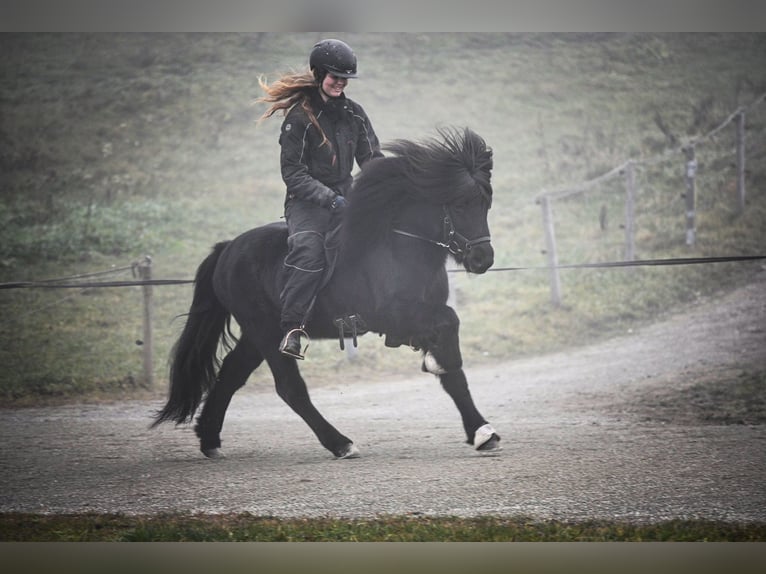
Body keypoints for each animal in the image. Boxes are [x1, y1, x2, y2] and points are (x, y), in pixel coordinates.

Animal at [151, 126, 501, 459]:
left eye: (486, 204)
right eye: (460, 204)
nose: (483, 259)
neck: (400, 247)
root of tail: (227, 249)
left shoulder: (423, 319)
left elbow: (454, 375)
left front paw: (482, 432)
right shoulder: (395, 316)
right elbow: (450, 325)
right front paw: (440, 364)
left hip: (255, 336)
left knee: (231, 375)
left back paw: (209, 440)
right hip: (265, 332)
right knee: (289, 388)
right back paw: (341, 444)